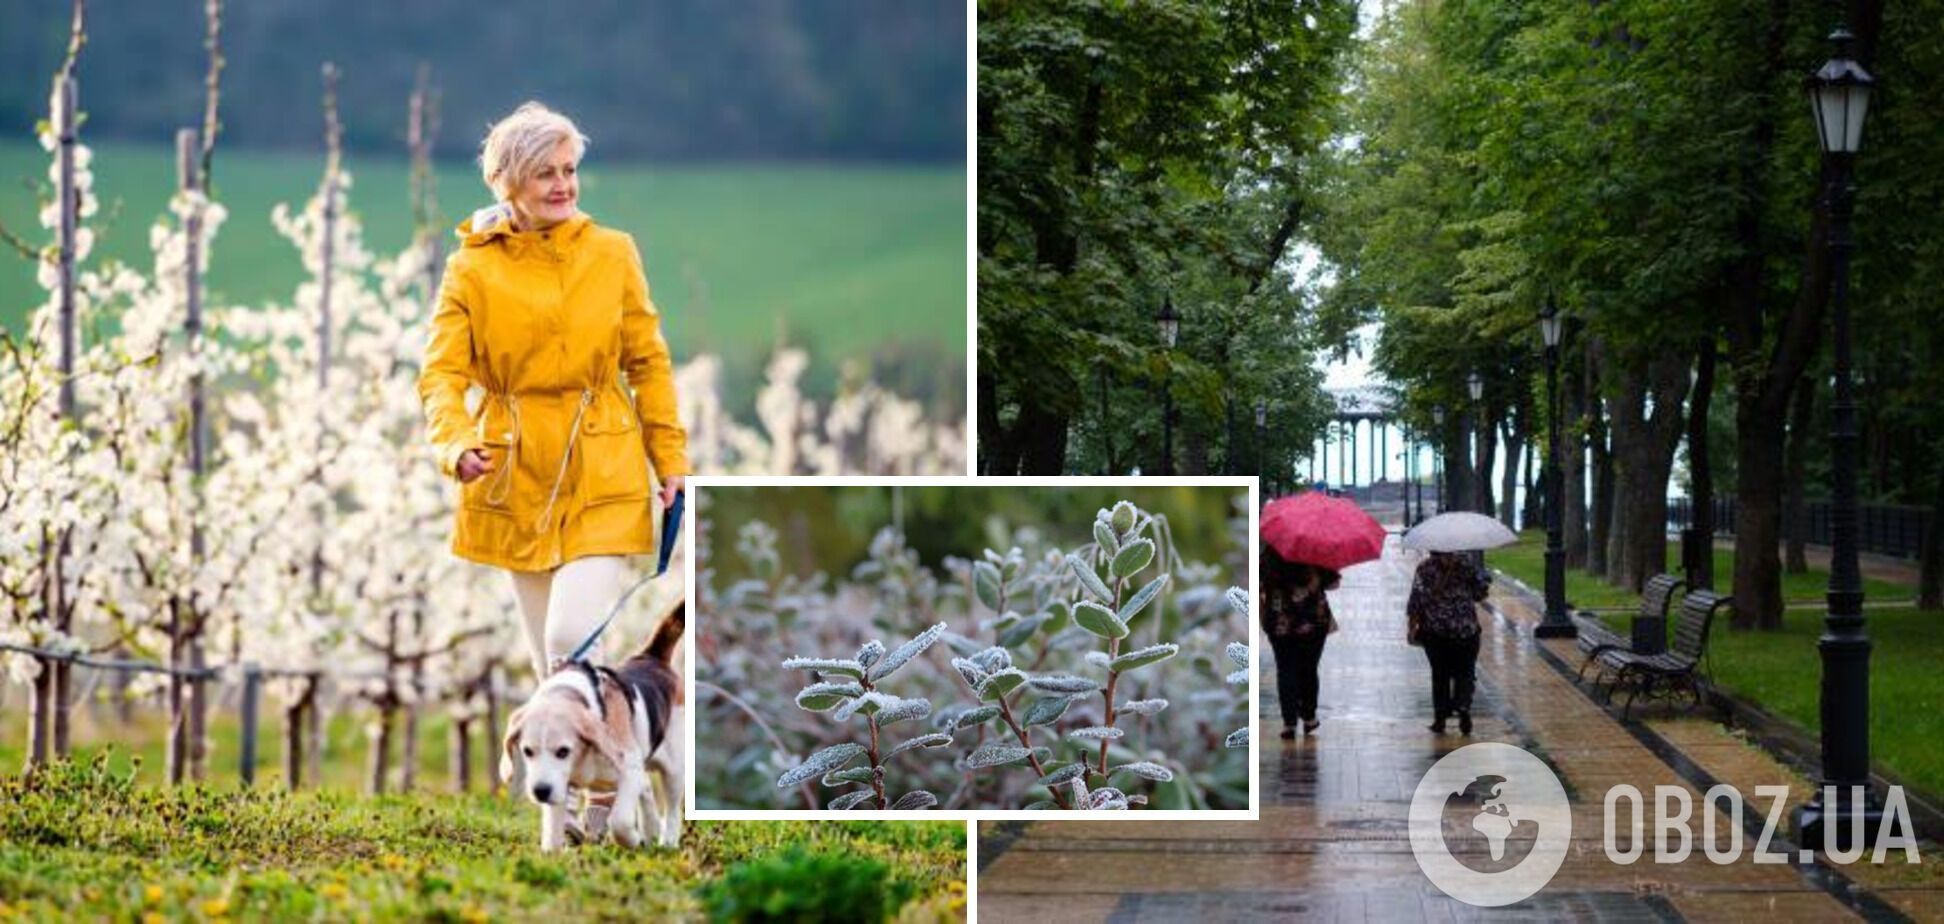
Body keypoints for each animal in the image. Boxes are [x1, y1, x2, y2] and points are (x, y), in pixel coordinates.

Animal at [501, 599, 684, 852]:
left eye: (563, 751)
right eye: (527, 751)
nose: (541, 791)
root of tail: (651, 657)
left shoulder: (630, 769)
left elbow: (620, 821)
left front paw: (631, 839)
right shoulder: (560, 785)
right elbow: (553, 829)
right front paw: (552, 851)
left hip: (674, 770)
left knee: (673, 810)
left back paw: (667, 842)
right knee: (647, 790)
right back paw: (651, 829)